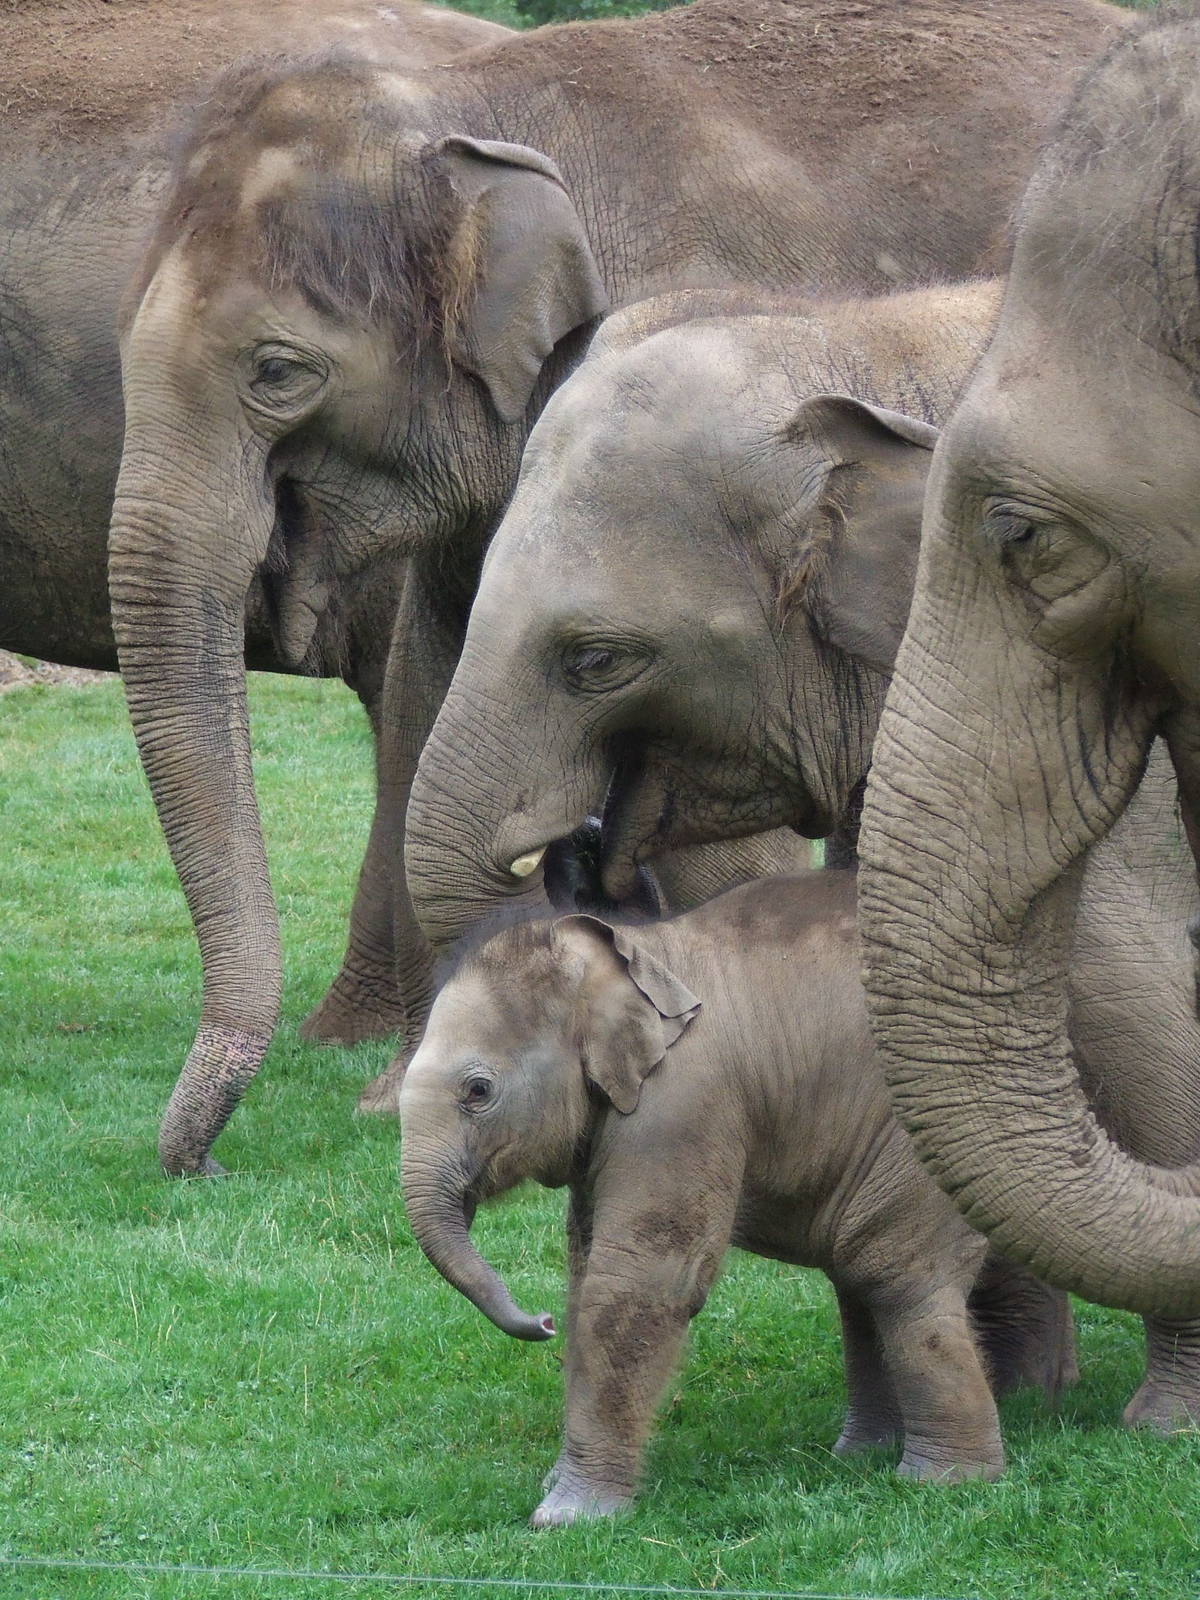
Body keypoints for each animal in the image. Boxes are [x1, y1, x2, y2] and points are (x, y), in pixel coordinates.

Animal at [399, 871, 1077, 1524]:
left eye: (478, 1091)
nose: (537, 1323)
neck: (637, 952)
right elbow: (586, 1268)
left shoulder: (684, 1103)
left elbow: (640, 1280)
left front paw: (567, 1516)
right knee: (868, 1276)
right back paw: (877, 1453)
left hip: (931, 1129)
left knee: (895, 1274)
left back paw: (946, 1479)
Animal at [403, 280, 1200, 1430]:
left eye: (596, 660)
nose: (578, 852)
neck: (849, 334)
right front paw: (1022, 1392)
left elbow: (1134, 1005)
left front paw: (1160, 1422)